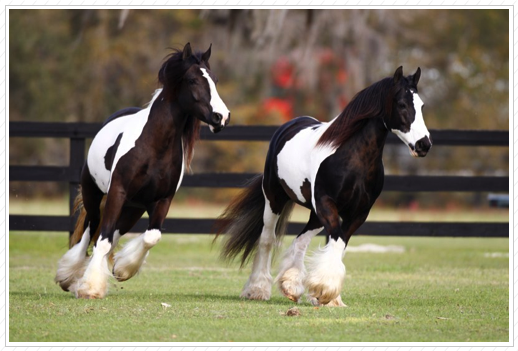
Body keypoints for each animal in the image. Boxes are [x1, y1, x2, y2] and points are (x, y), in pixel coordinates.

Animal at [55, 42, 232, 298]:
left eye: (215, 79)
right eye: (192, 80)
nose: (222, 117)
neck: (153, 146)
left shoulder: (162, 200)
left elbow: (151, 236)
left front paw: (123, 268)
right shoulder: (117, 192)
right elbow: (102, 239)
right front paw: (90, 288)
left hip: (132, 208)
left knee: (112, 233)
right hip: (95, 195)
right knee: (91, 230)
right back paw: (69, 277)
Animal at [215, 67, 430, 306]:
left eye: (421, 105)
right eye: (402, 104)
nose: (424, 144)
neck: (353, 158)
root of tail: (289, 126)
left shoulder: (358, 213)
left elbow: (340, 244)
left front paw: (330, 296)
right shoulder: (327, 204)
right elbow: (336, 241)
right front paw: (324, 290)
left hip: (315, 214)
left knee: (300, 241)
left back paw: (291, 285)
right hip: (274, 199)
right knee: (267, 239)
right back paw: (258, 289)